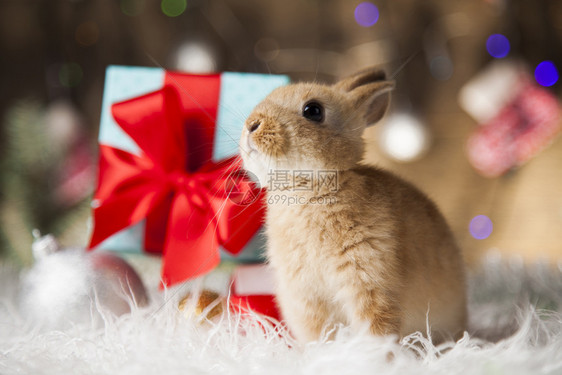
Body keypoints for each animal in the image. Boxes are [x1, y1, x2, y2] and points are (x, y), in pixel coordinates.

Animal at [238, 67, 466, 344]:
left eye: (313, 110)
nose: (252, 125)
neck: (311, 188)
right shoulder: (306, 297)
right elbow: (318, 335)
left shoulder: (369, 282)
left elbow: (376, 329)